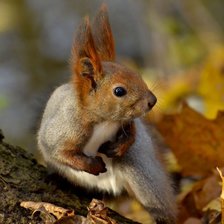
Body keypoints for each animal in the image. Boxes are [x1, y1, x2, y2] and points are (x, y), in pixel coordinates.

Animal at [37, 4, 177, 223]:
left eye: (136, 74)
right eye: (119, 91)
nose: (152, 101)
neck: (104, 121)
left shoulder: (126, 122)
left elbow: (132, 130)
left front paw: (119, 146)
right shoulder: (63, 130)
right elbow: (60, 152)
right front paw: (92, 165)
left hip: (141, 172)